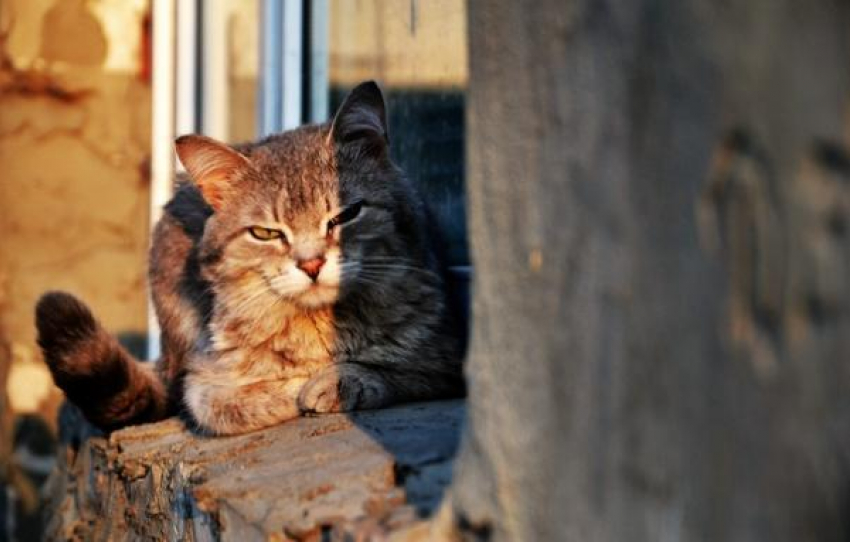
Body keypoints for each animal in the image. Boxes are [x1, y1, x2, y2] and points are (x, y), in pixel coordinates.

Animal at [34, 81, 464, 438]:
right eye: (265, 233)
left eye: (345, 216)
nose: (311, 264)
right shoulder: (203, 381)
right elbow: (229, 403)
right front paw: (294, 388)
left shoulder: (445, 353)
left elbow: (401, 370)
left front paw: (339, 381)